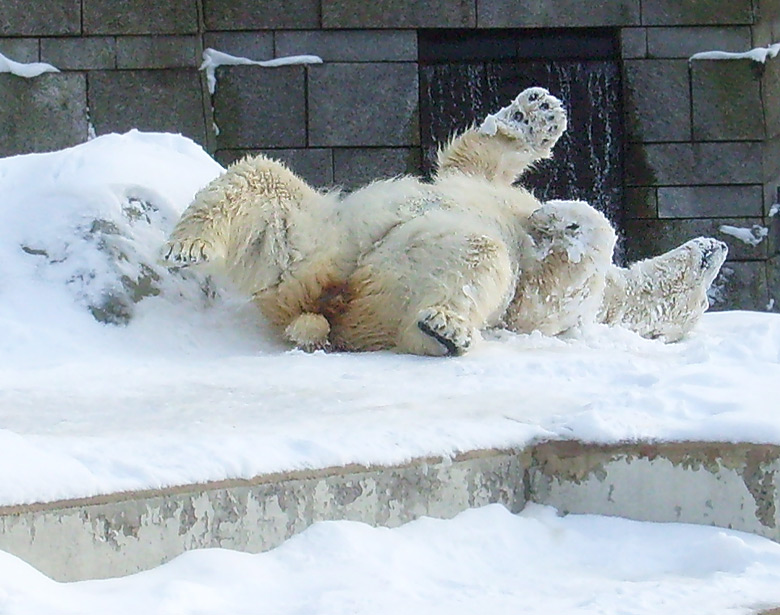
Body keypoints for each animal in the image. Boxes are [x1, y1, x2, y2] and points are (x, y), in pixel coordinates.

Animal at [163, 88, 724, 356]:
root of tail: (326, 299)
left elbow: (540, 297)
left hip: (343, 275)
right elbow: (472, 162)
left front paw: (563, 219)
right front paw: (537, 114)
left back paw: (443, 329)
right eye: (705, 288)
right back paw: (186, 247)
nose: (714, 247)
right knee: (258, 176)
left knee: (477, 258)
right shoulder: (487, 182)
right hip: (321, 238)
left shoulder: (568, 309)